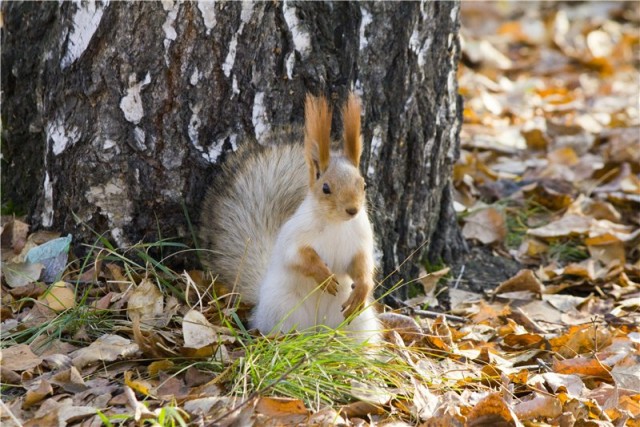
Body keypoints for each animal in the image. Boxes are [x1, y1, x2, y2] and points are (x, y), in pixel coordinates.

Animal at [201, 92, 380, 342]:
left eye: (364, 184)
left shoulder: (361, 240)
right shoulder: (295, 235)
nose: (352, 210)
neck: (336, 224)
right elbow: (297, 256)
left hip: (357, 322)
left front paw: (363, 287)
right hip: (284, 308)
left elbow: (363, 264)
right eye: (326, 188)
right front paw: (324, 275)